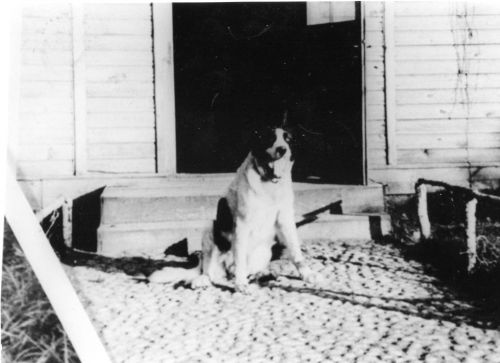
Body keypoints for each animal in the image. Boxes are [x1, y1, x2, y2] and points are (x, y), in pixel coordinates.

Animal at [148, 121, 322, 292]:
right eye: (270, 138)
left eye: (288, 139)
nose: (282, 149)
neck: (269, 184)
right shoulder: (242, 224)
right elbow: (240, 260)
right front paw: (240, 283)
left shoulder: (285, 220)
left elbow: (296, 252)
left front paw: (307, 274)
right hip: (210, 230)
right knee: (209, 270)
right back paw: (203, 280)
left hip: (263, 252)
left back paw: (262, 274)